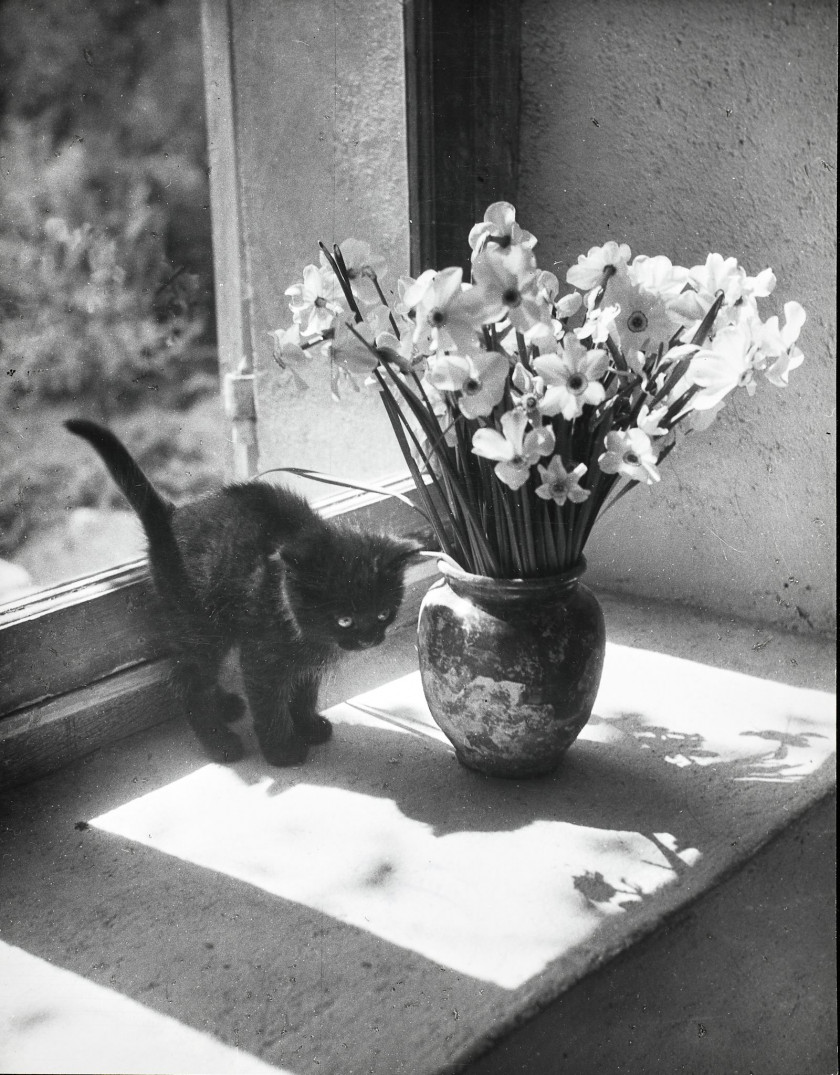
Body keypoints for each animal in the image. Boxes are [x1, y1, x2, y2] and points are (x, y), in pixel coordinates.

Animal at [65, 417, 419, 765]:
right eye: (344, 619)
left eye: (383, 613)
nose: (369, 639)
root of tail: (172, 516)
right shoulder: (262, 655)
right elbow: (269, 706)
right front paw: (282, 750)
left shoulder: (307, 664)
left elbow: (304, 694)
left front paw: (308, 726)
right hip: (202, 623)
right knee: (189, 683)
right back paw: (221, 743)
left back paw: (225, 705)